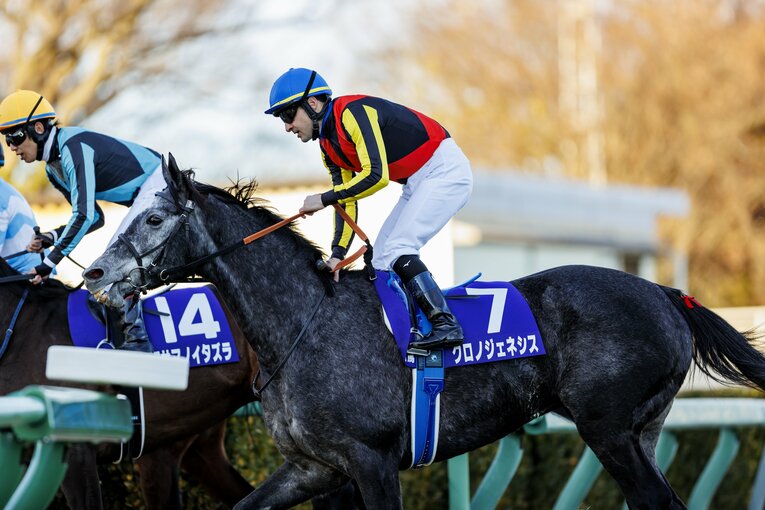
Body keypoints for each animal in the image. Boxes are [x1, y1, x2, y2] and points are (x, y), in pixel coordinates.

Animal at [82, 156, 765, 510]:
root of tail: (665, 293)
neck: (302, 324)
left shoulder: (372, 461)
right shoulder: (314, 468)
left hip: (608, 428)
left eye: (154, 218)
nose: (96, 273)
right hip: (639, 431)